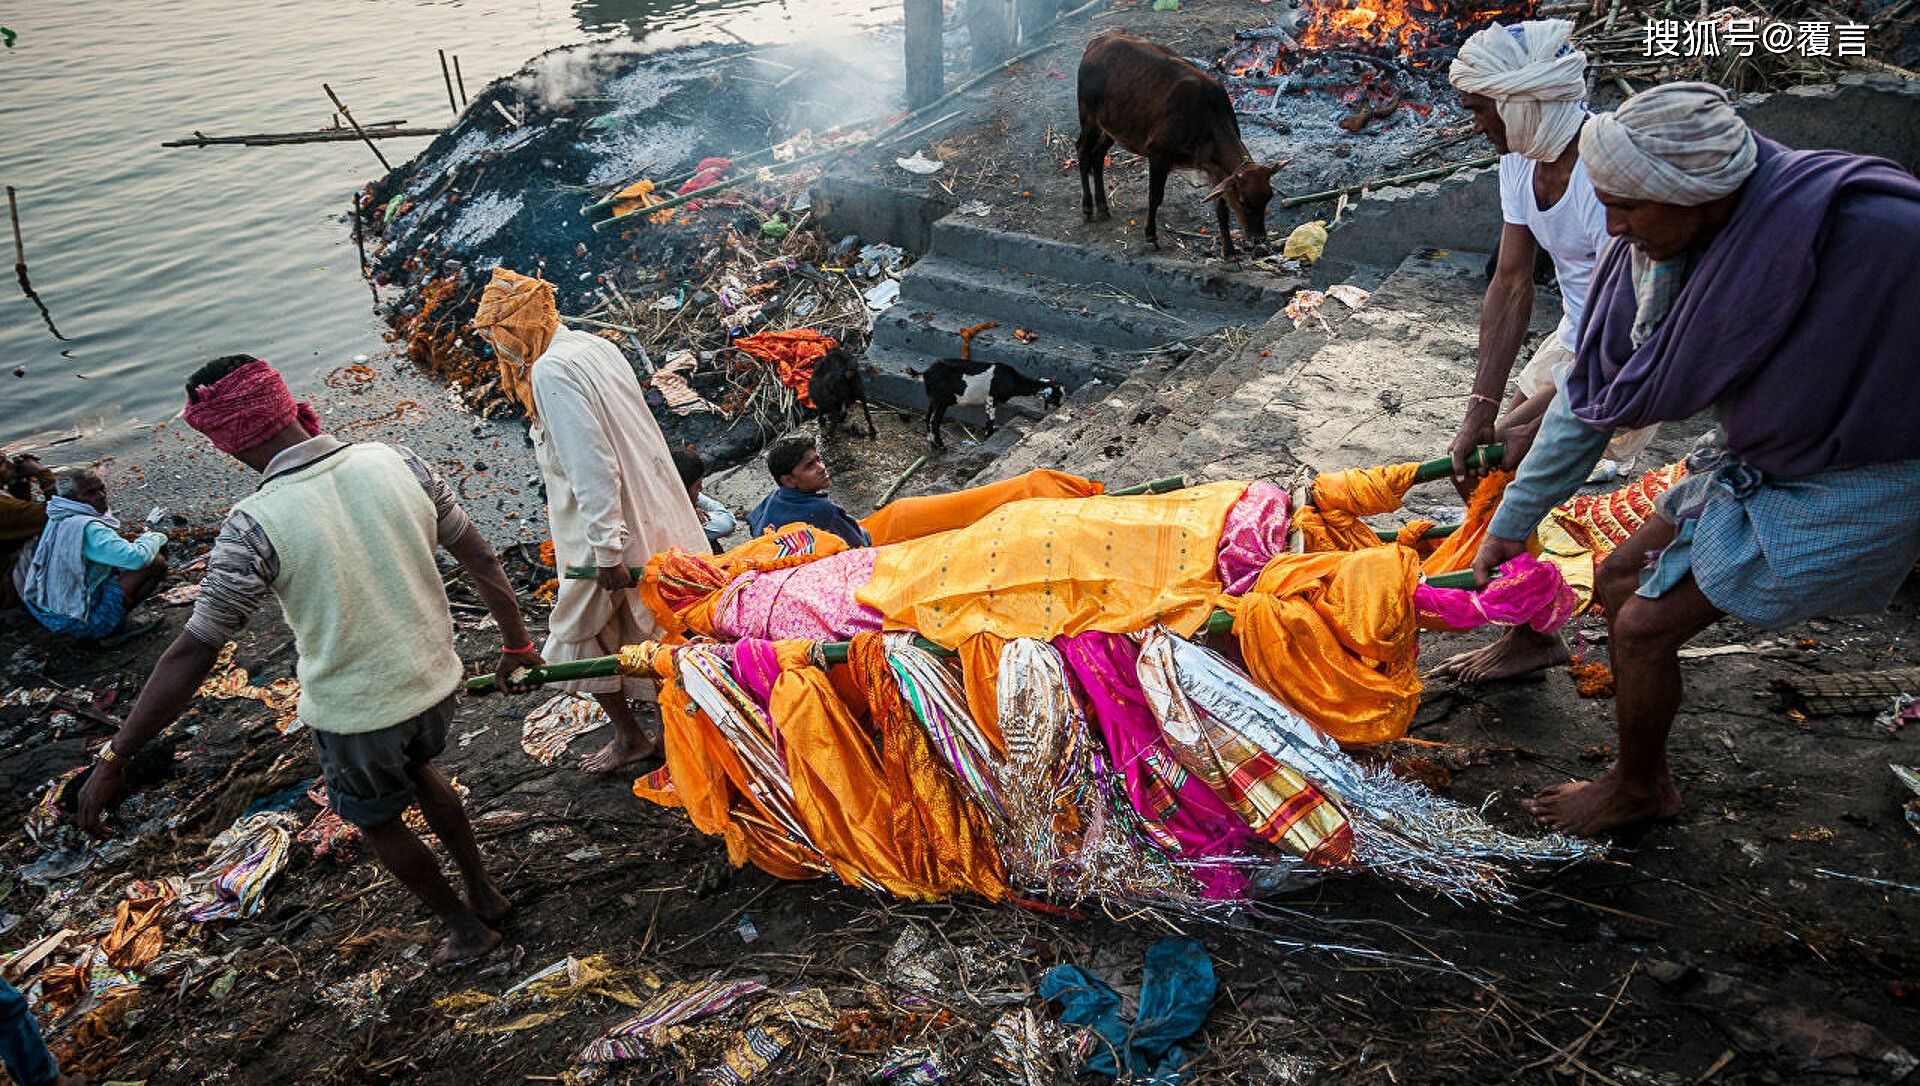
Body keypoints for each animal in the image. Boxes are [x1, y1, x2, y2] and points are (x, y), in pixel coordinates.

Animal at [913, 362, 1067, 450]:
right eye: (1057, 395)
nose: (1062, 405)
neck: (1013, 380)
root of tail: (926, 374)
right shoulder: (991, 399)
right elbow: (990, 422)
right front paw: (988, 439)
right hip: (941, 402)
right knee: (934, 421)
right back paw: (941, 445)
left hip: (934, 400)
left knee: (927, 418)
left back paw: (932, 443)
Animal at [1075, 29, 1282, 259]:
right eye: (1244, 201)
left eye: (1269, 197)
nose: (1259, 238)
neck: (1206, 118)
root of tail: (1096, 43)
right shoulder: (1158, 154)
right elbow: (1155, 197)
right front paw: (1151, 236)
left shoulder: (1216, 170)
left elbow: (1221, 208)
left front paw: (1228, 251)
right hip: (1089, 118)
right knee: (1082, 151)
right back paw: (1088, 207)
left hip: (1112, 128)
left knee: (1098, 156)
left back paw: (1103, 206)